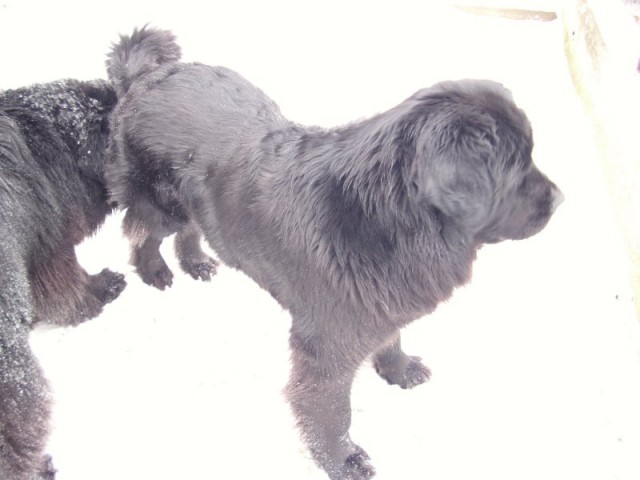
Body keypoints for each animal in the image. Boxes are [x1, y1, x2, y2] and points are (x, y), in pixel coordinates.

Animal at [106, 26, 563, 479]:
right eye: (516, 167)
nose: (560, 199)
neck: (393, 221)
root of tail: (148, 73)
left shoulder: (380, 305)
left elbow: (391, 338)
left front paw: (398, 370)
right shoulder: (327, 343)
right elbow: (331, 409)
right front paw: (343, 460)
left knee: (191, 227)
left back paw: (196, 262)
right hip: (160, 202)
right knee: (144, 232)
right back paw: (154, 270)